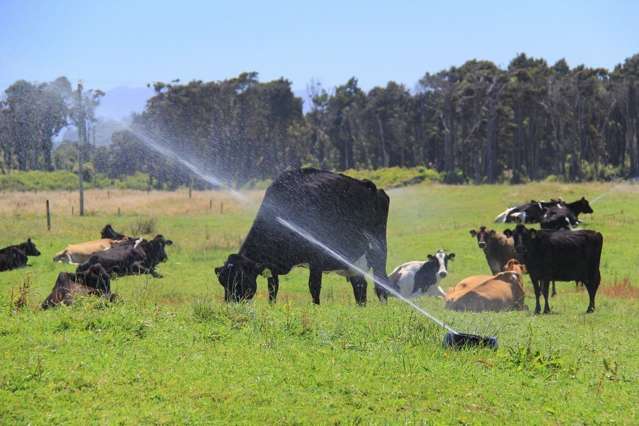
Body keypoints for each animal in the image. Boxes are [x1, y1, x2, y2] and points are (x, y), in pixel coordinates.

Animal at [216, 168, 396, 304]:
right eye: (223, 282)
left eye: (240, 279)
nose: (231, 304)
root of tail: (370, 186)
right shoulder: (272, 265)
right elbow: (273, 288)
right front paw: (272, 305)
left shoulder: (316, 259)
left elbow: (313, 287)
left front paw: (316, 307)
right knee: (360, 285)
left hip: (378, 253)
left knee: (381, 283)